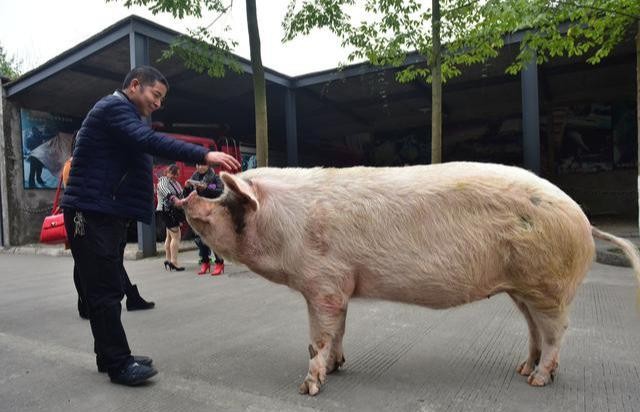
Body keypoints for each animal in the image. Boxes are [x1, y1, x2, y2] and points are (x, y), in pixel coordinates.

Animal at [178, 162, 640, 396]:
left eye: (223, 197)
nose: (186, 194)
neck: (285, 222)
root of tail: (582, 218)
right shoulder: (340, 285)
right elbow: (339, 329)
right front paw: (339, 368)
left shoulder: (323, 282)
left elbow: (318, 338)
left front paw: (307, 388)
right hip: (521, 288)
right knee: (535, 330)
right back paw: (522, 369)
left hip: (548, 285)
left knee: (558, 331)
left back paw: (539, 380)